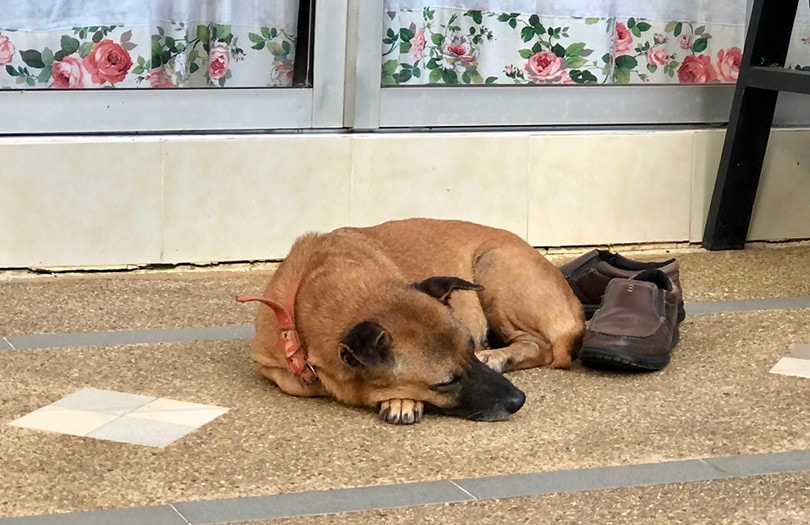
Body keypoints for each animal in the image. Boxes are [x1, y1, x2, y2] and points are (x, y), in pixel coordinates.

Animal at [237, 217, 584, 422]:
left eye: (470, 352)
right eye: (446, 382)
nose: (518, 400)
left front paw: (402, 400)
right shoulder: (268, 363)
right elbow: (297, 383)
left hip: (492, 264)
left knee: (542, 347)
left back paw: (498, 355)